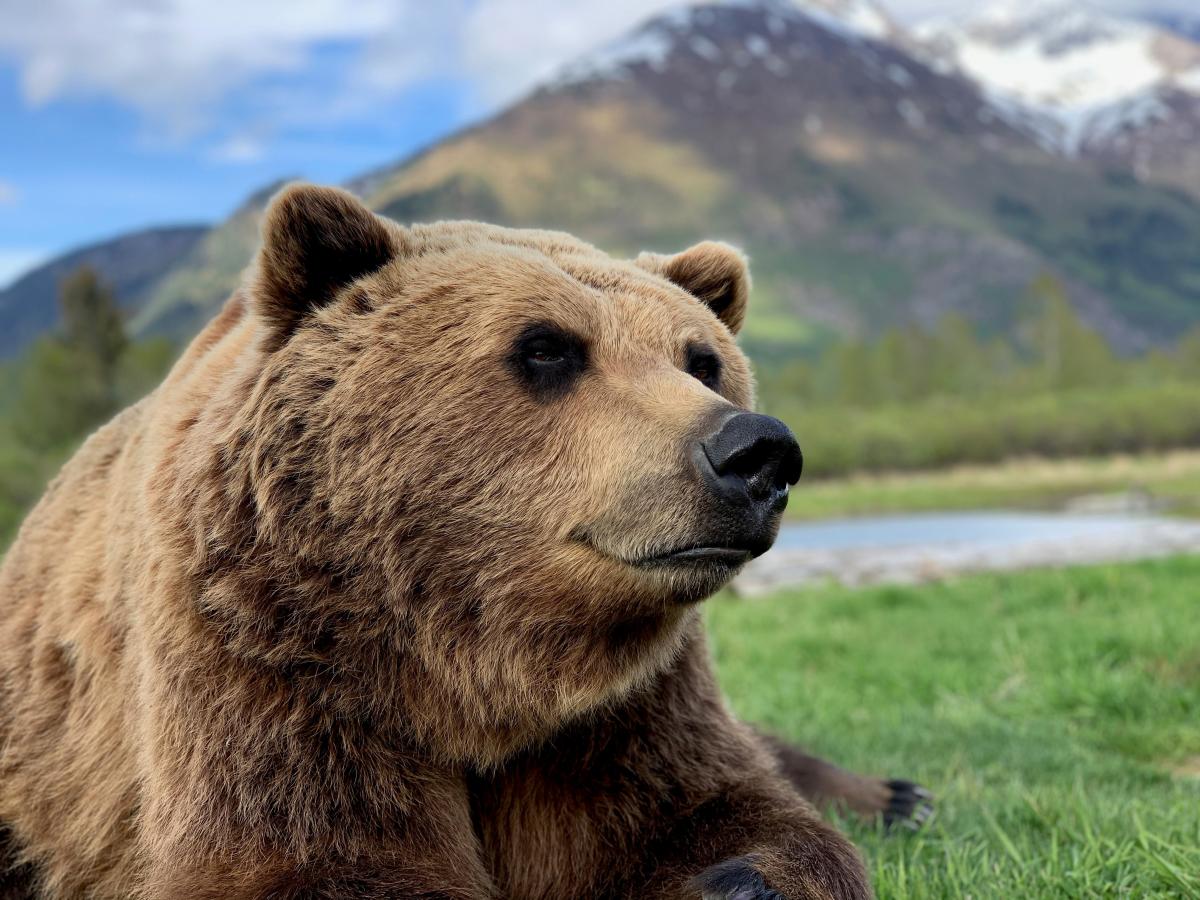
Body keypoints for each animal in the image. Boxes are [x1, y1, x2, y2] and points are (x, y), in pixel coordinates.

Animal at [0, 184, 925, 899]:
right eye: (546, 348)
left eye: (703, 359)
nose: (754, 451)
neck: (472, 661)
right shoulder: (266, 657)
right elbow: (313, 857)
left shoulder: (623, 707)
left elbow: (716, 812)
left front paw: (737, 875)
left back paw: (894, 794)